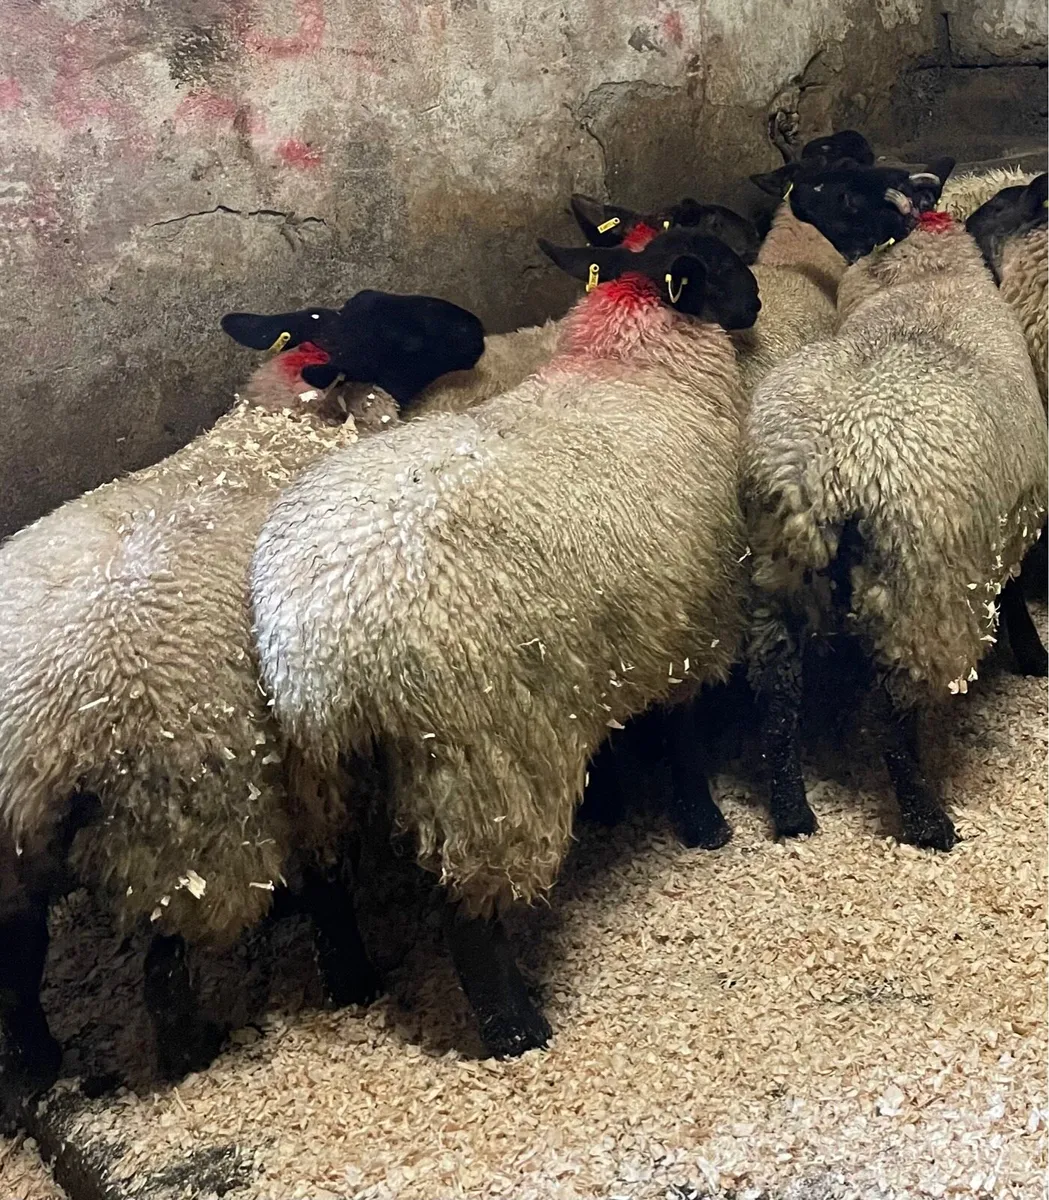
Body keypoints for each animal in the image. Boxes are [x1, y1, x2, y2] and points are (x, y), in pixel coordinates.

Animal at [0, 291, 485, 1117]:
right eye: (407, 328)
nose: (476, 328)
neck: (281, 429)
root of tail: (39, 755)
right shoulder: (304, 756)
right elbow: (327, 878)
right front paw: (351, 979)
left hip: (21, 872)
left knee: (19, 977)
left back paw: (36, 1067)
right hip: (179, 837)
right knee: (161, 975)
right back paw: (189, 1057)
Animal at [249, 227, 760, 1056]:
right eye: (717, 264)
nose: (755, 300)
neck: (632, 370)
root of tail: (321, 654)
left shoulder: (614, 634)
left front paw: (614, 801)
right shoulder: (691, 618)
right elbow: (680, 737)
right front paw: (705, 827)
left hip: (313, 775)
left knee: (326, 885)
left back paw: (354, 982)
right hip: (482, 762)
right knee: (469, 917)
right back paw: (516, 1029)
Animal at [742, 161, 1048, 852]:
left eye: (837, 186)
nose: (791, 195)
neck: (920, 272)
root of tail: (822, 473)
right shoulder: (1004, 518)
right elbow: (1015, 593)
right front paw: (1036, 658)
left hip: (777, 572)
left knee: (777, 695)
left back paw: (793, 814)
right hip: (919, 590)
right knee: (894, 715)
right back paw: (929, 824)